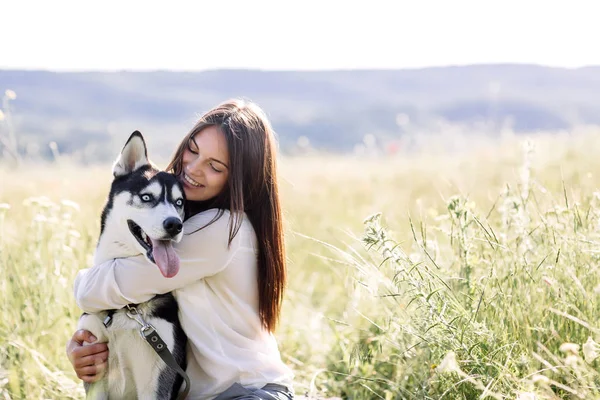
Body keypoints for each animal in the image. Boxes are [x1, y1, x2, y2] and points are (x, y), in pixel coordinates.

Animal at [76, 132, 188, 400]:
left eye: (179, 202)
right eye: (147, 197)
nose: (174, 224)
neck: (125, 309)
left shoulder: (157, 382)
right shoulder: (95, 372)